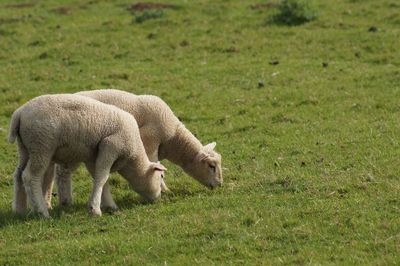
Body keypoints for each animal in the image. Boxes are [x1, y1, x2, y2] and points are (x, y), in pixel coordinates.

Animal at [9, 94, 166, 217]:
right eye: (160, 177)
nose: (158, 198)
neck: (133, 156)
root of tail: (19, 113)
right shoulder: (110, 145)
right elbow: (103, 177)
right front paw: (95, 209)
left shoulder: (94, 155)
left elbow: (99, 178)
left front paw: (108, 205)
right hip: (41, 146)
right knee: (30, 177)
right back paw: (42, 212)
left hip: (25, 148)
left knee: (18, 174)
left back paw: (19, 210)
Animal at [50, 89, 222, 208]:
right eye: (211, 166)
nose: (219, 185)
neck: (173, 139)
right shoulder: (150, 145)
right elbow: (158, 167)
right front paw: (164, 189)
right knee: (62, 173)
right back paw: (63, 202)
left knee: (61, 172)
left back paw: (63, 202)